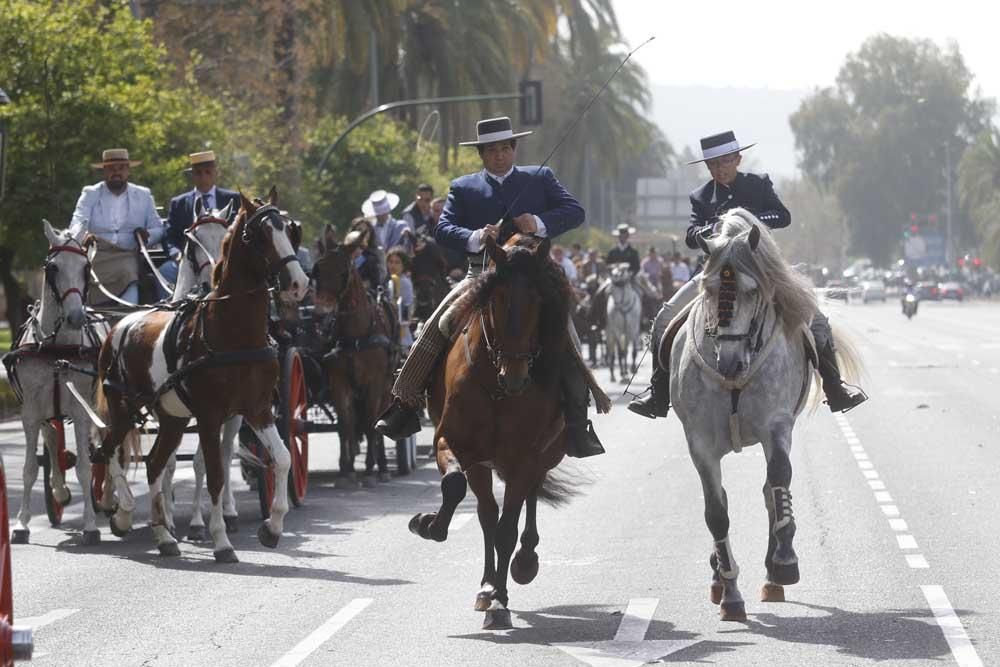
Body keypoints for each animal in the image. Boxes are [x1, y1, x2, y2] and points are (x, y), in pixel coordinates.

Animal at [7, 222, 109, 544]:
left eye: (86, 268)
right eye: (52, 268)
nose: (76, 316)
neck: (56, 349)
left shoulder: (81, 410)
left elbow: (86, 467)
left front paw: (90, 525)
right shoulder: (30, 412)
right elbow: (29, 468)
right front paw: (21, 524)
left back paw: (106, 498)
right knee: (53, 440)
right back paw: (60, 491)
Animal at [94, 190, 306, 560]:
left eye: (290, 230)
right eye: (260, 235)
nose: (298, 283)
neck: (231, 331)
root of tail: (121, 324)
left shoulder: (256, 409)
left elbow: (281, 459)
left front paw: (272, 527)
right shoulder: (210, 416)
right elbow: (215, 473)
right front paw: (220, 539)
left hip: (172, 417)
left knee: (153, 462)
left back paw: (163, 535)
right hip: (123, 408)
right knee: (109, 450)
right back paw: (122, 512)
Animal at [310, 224, 396, 486]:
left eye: (342, 271)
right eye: (316, 270)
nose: (320, 314)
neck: (356, 334)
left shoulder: (374, 382)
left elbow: (370, 423)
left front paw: (369, 469)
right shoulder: (339, 382)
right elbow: (345, 425)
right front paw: (347, 470)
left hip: (387, 384)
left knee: (379, 418)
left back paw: (382, 466)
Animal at [408, 236, 584, 632]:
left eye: (538, 299)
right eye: (496, 299)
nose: (516, 374)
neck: (496, 388)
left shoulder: (524, 460)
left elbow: (507, 529)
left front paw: (501, 601)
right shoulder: (452, 444)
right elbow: (457, 489)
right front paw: (430, 525)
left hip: (542, 457)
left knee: (526, 503)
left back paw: (524, 562)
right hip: (483, 464)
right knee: (487, 513)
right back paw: (487, 584)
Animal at [668, 209, 864, 620]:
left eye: (752, 291)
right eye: (709, 290)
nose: (729, 362)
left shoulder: (775, 425)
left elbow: (779, 481)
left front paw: (785, 560)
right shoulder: (700, 443)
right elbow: (717, 512)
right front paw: (729, 592)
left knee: (768, 493)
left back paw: (774, 573)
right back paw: (720, 579)